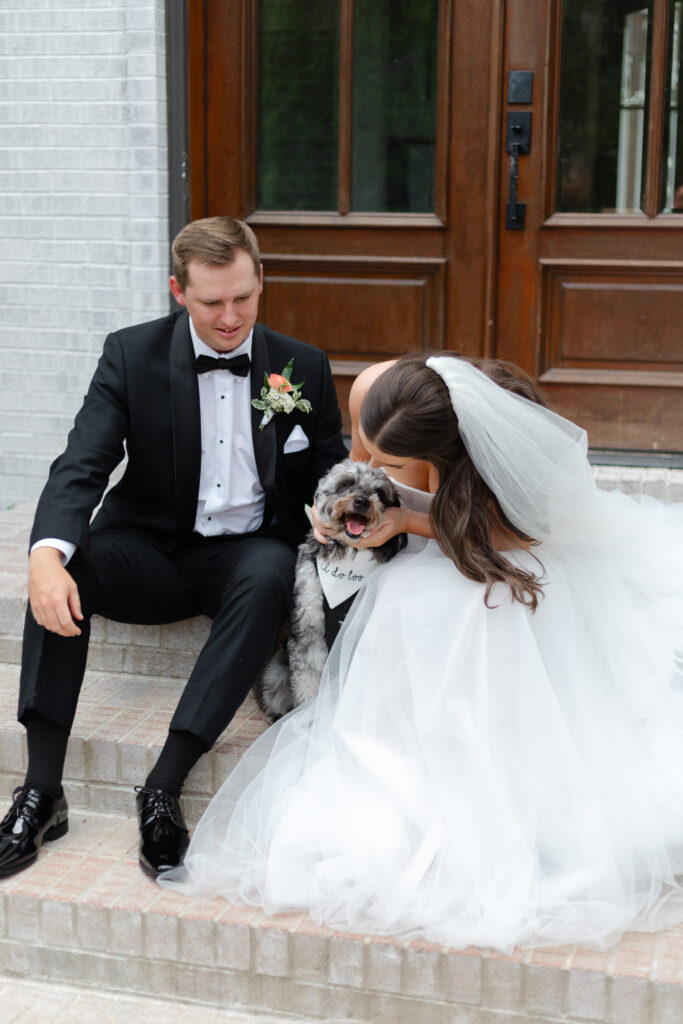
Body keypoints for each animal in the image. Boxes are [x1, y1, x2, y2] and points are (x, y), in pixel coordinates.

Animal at [254, 460, 405, 724]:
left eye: (379, 493)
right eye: (346, 484)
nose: (362, 501)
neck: (346, 557)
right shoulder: (310, 633)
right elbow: (309, 687)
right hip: (276, 674)